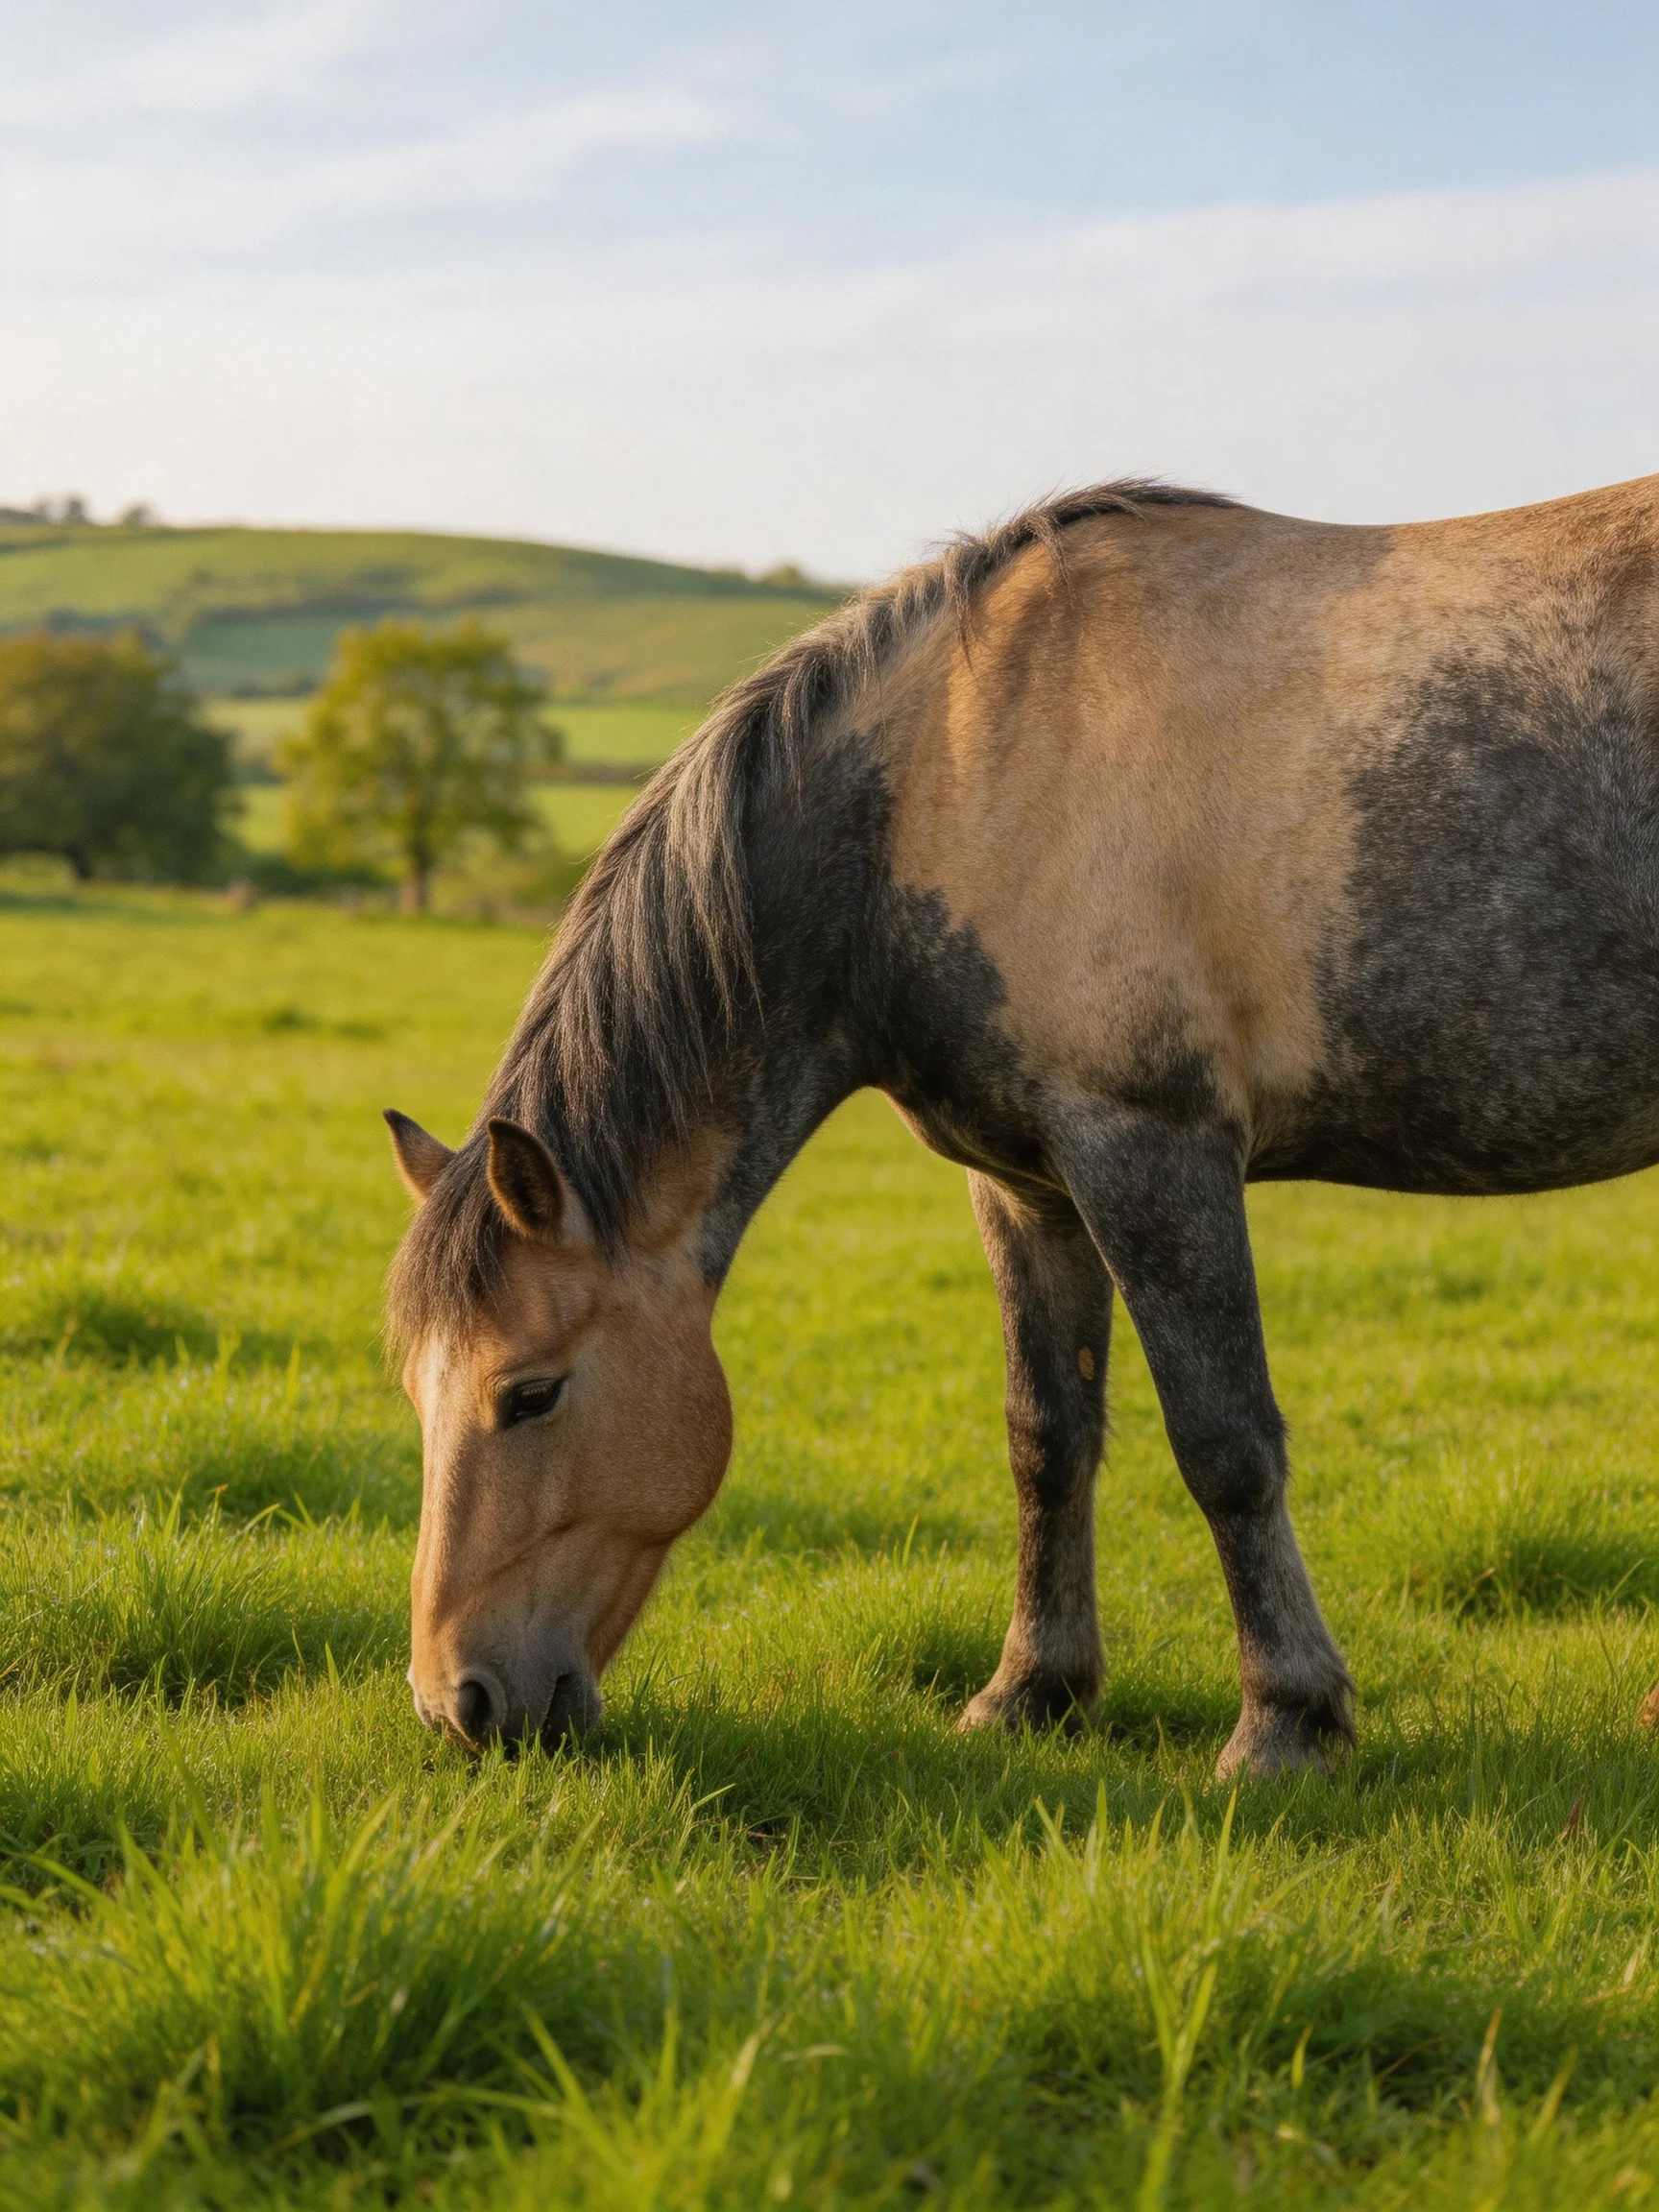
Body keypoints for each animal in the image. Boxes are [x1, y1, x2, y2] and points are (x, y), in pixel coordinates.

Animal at [384, 473, 1659, 1779]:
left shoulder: (1150, 1151)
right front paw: (1033, 1689)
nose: (455, 1702)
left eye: (530, 1394)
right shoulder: (1029, 1186)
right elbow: (1046, 1436)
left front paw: (1284, 1722)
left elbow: (1226, 1445)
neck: (949, 782)